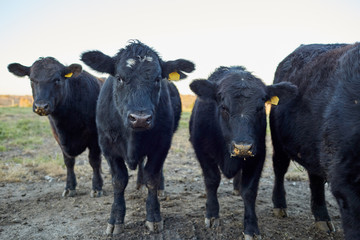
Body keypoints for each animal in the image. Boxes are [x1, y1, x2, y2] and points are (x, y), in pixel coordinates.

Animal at [7, 57, 103, 198]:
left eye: (57, 79)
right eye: (31, 79)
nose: (41, 106)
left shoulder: (95, 137)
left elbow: (94, 161)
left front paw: (96, 188)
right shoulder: (59, 137)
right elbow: (68, 162)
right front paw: (69, 187)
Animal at [80, 39, 195, 234]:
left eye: (157, 79)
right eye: (119, 77)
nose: (140, 119)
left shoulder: (161, 145)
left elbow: (152, 178)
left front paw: (154, 216)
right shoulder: (107, 147)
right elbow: (119, 181)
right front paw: (115, 219)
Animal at [190, 65, 296, 238]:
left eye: (260, 108)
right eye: (224, 107)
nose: (243, 147)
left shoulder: (258, 155)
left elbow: (249, 191)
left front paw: (251, 228)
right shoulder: (202, 151)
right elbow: (212, 180)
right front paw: (212, 215)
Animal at [272, 42, 360, 239]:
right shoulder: (344, 176)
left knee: (315, 179)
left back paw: (323, 222)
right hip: (278, 140)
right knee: (279, 167)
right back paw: (280, 208)